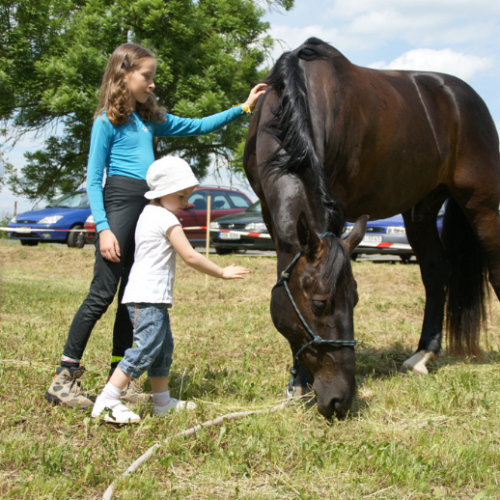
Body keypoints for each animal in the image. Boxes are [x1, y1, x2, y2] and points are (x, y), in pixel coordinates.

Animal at [244, 38, 500, 418]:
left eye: (356, 299)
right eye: (319, 304)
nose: (339, 400)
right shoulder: (267, 210)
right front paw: (297, 382)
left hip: (481, 203)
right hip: (421, 209)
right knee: (437, 271)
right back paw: (422, 356)